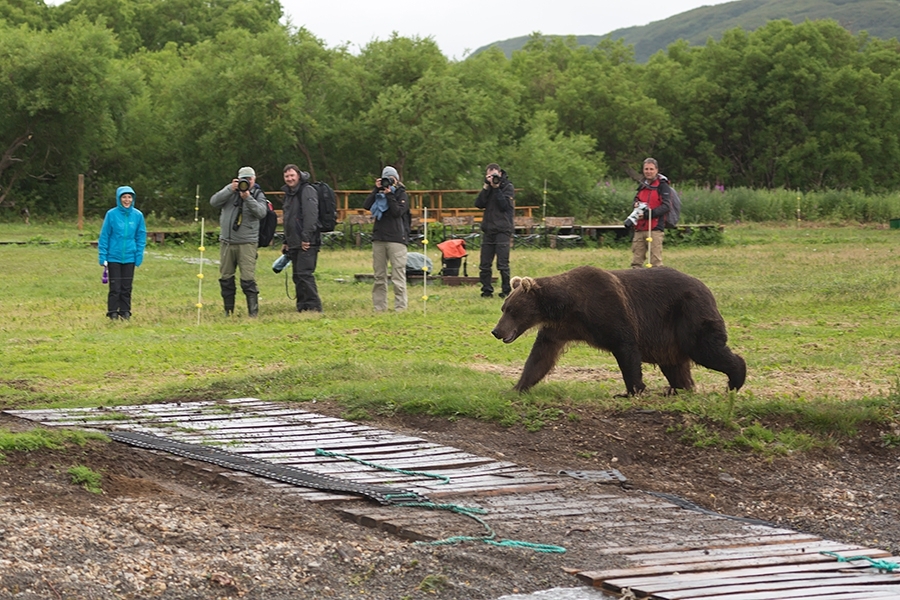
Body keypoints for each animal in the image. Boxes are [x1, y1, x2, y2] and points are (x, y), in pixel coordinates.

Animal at [492, 266, 744, 396]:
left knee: (705, 348)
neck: (567, 306)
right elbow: (540, 358)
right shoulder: (560, 328)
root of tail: (706, 288)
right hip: (668, 338)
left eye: (512, 309)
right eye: (504, 307)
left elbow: (626, 347)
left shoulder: (609, 309)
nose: (496, 331)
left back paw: (734, 381)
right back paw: (679, 389)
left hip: (688, 314)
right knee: (675, 365)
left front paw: (632, 390)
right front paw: (516, 387)